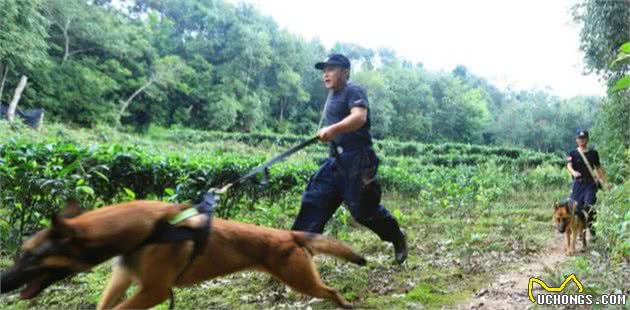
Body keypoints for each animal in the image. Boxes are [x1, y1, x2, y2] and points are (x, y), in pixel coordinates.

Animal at [0, 200, 368, 308]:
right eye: (21, 254)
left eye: (30, 257)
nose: (3, 282)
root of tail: (287, 234)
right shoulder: (123, 278)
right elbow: (105, 304)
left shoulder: (155, 291)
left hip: (301, 280)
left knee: (331, 290)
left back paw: (344, 304)